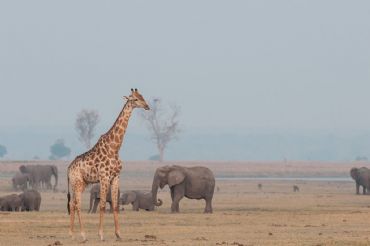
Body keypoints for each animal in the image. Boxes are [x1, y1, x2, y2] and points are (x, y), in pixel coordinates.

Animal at [66, 87, 149, 241]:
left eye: (142, 97)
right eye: (135, 99)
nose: (147, 106)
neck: (115, 147)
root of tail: (68, 169)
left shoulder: (116, 177)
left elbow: (115, 205)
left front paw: (119, 234)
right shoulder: (104, 177)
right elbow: (103, 205)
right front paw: (101, 235)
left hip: (81, 183)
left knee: (72, 204)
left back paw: (71, 234)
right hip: (77, 182)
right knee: (77, 204)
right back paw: (83, 235)